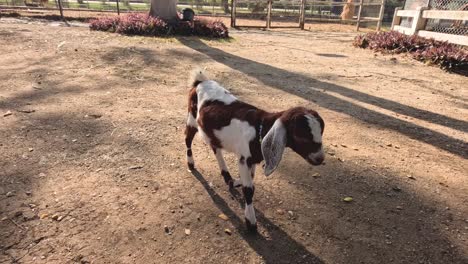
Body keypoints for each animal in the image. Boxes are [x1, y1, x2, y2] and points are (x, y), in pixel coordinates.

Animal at [184, 69, 326, 231]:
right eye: (300, 135)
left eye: (321, 131)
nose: (320, 158)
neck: (260, 127)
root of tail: (200, 81)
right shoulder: (244, 159)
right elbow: (249, 189)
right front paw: (251, 222)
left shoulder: (252, 160)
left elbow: (251, 180)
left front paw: (236, 182)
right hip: (191, 117)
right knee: (187, 139)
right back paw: (191, 164)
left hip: (212, 131)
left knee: (216, 147)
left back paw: (228, 177)